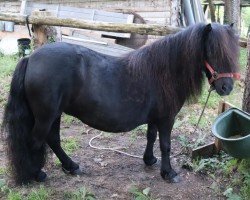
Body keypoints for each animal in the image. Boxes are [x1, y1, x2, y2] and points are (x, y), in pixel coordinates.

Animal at [2, 22, 240, 184]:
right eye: (212, 50)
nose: (226, 87)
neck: (165, 71)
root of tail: (30, 58)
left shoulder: (155, 118)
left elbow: (150, 137)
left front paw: (149, 160)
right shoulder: (166, 118)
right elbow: (165, 144)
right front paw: (169, 173)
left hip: (55, 114)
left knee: (53, 139)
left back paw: (71, 167)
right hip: (46, 115)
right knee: (35, 141)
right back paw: (37, 174)